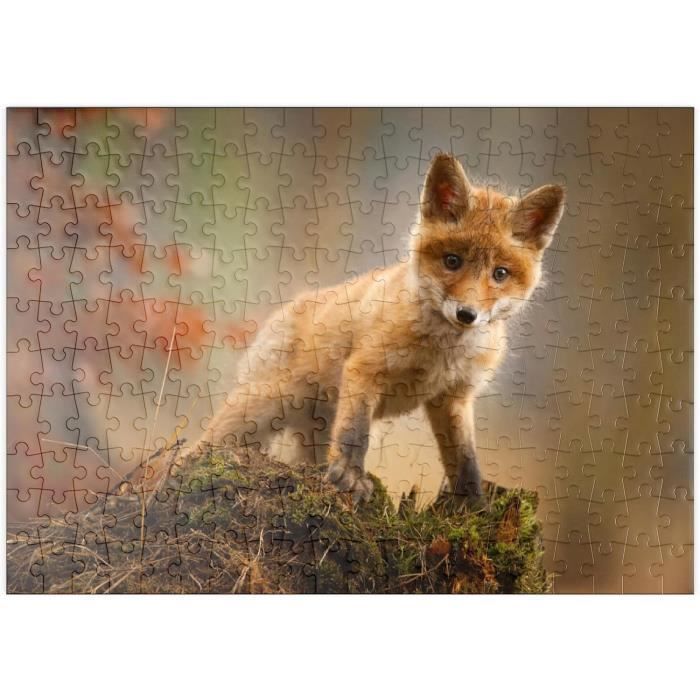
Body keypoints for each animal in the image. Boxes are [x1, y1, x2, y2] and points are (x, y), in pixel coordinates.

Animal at [179, 153, 565, 504]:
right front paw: (350, 478)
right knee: (195, 448)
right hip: (267, 402)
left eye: (500, 273)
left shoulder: (454, 398)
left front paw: (472, 506)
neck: (443, 352)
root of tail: (288, 307)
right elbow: (355, 434)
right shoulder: (364, 371)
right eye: (452, 261)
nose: (466, 314)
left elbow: (465, 459)